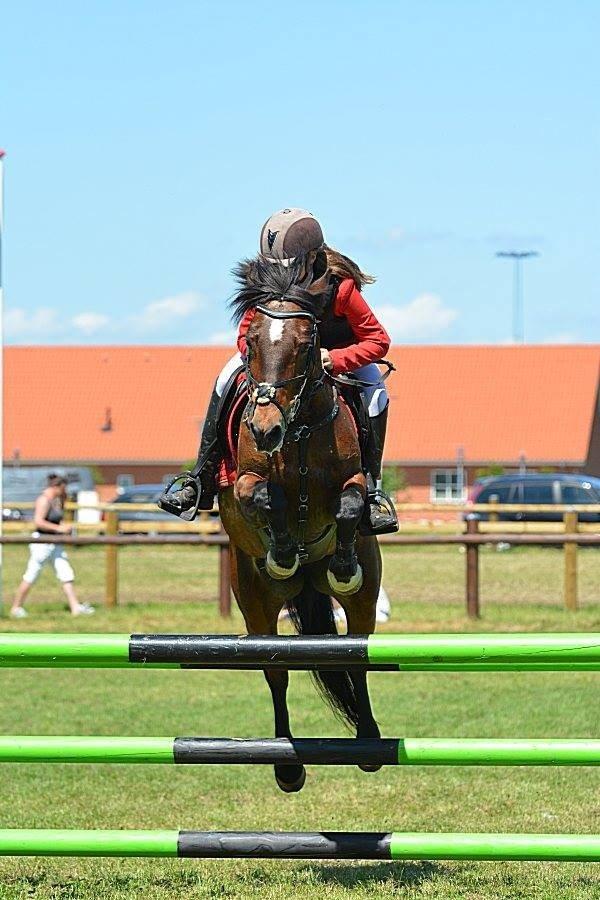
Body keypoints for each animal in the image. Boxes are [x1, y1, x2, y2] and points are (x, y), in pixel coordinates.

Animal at [218, 254, 382, 793]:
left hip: (364, 602)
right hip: (256, 606)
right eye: (251, 341)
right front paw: (284, 551)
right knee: (277, 672)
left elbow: (350, 505)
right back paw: (286, 764)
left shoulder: (352, 480)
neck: (301, 429)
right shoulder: (243, 484)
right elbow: (264, 497)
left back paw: (369, 743)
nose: (264, 429)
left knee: (354, 659)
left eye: (307, 344)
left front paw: (343, 563)